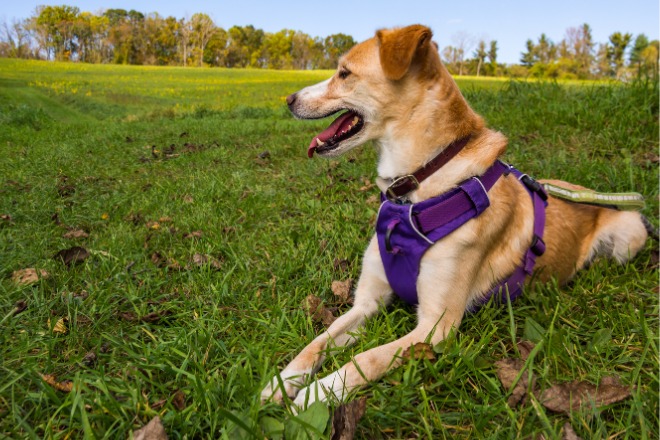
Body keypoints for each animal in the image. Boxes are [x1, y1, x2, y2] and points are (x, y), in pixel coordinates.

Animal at [260, 24, 648, 410]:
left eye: (344, 73)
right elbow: (319, 340)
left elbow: (368, 358)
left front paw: (318, 393)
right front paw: (284, 381)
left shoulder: (436, 326)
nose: (288, 99)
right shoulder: (367, 302)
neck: (415, 192)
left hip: (631, 235)